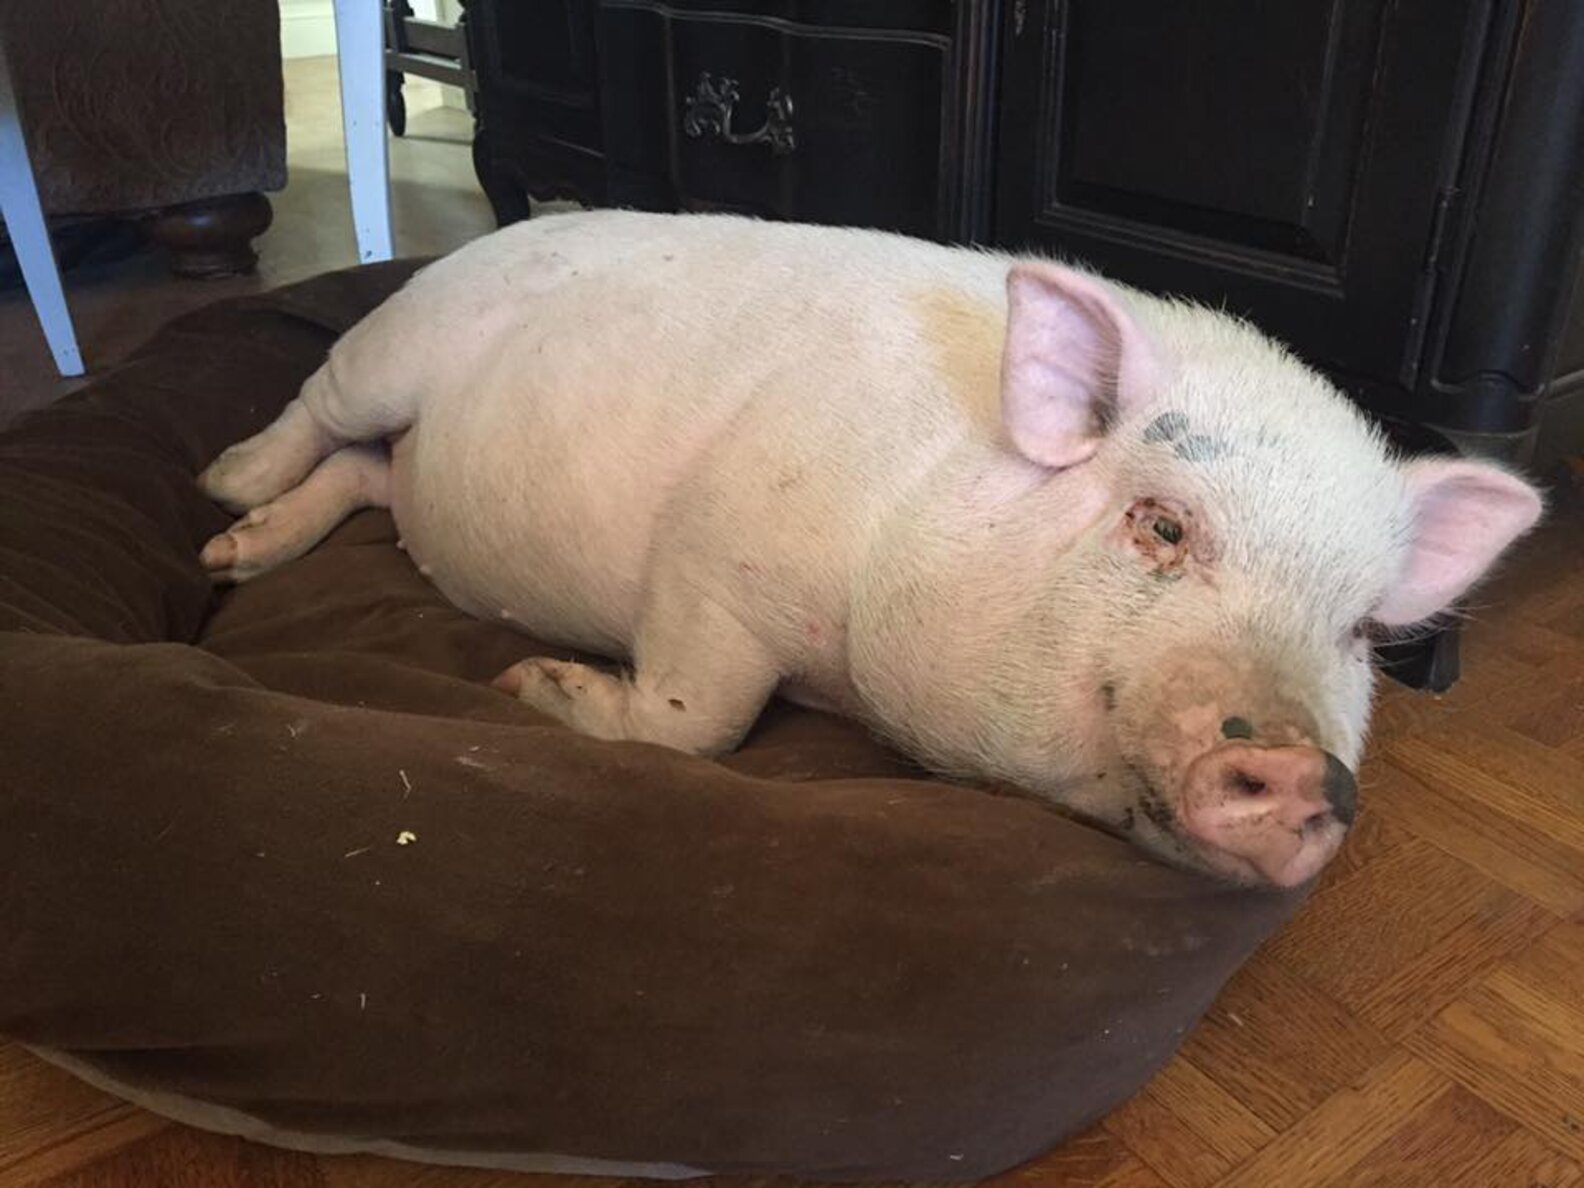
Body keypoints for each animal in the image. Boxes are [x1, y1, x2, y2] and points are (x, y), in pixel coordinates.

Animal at [197, 209, 1543, 889]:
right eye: (1162, 524)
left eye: (1359, 630)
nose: (1310, 775)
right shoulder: (714, 556)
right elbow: (698, 720)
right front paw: (533, 686)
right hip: (395, 349)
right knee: (316, 407)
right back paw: (221, 505)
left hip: (412, 472)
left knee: (362, 477)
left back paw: (241, 552)